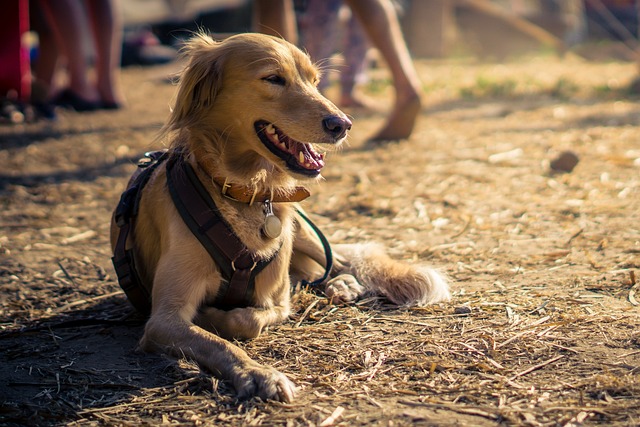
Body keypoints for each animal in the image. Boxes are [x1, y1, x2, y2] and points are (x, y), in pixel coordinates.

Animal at [111, 33, 450, 404]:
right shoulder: (163, 320)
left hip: (301, 230)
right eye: (273, 78)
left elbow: (250, 320)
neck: (244, 192)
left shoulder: (276, 297)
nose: (343, 124)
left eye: (315, 82)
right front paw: (257, 373)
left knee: (338, 262)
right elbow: (221, 343)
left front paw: (217, 319)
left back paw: (343, 285)